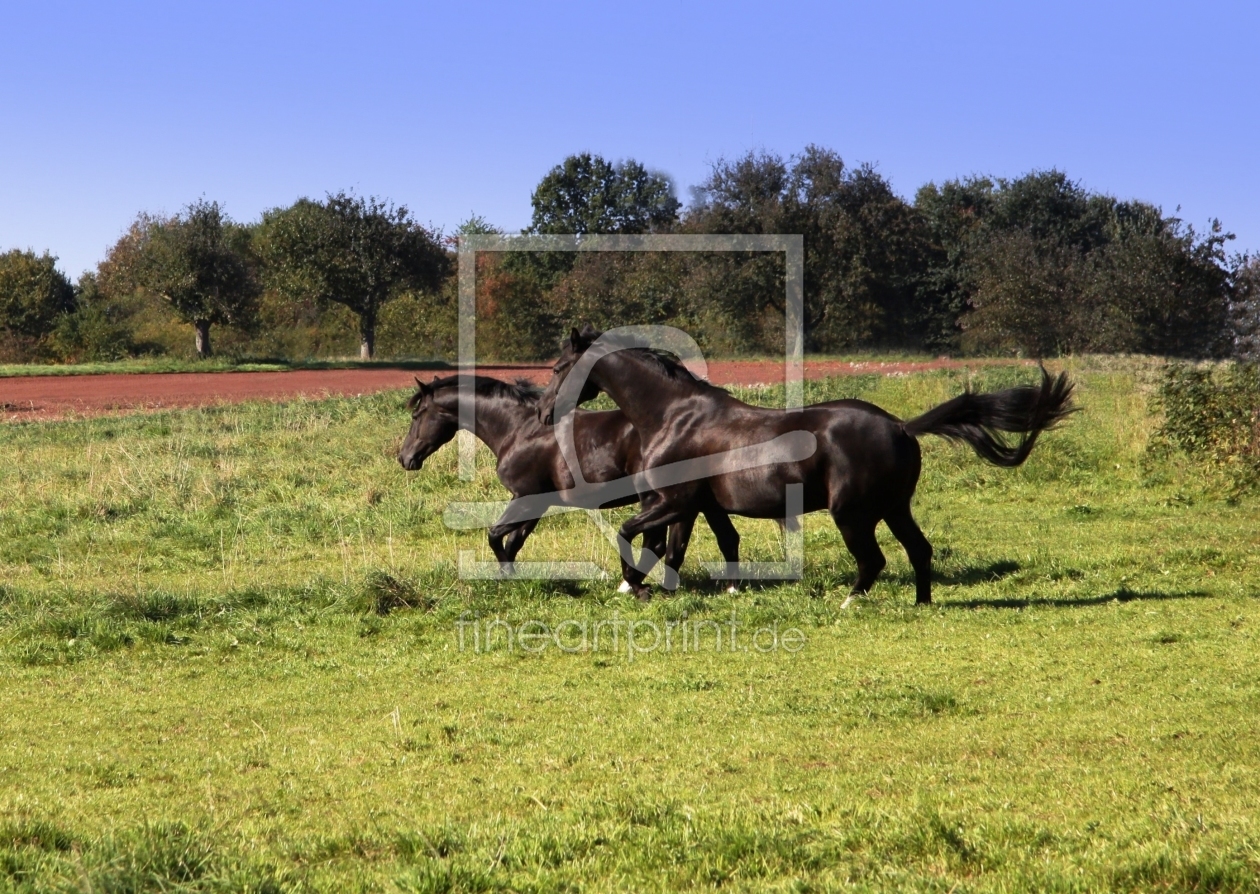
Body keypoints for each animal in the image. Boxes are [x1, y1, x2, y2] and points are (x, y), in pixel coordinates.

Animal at [398, 375, 740, 591]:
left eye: (417, 414)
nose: (404, 458)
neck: (519, 429)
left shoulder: (524, 497)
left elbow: (495, 537)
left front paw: (506, 576)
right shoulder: (536, 502)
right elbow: (513, 542)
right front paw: (511, 577)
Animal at [536, 329, 1078, 609]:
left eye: (558, 368)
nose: (542, 412)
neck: (672, 414)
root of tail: (901, 426)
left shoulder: (672, 502)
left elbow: (632, 533)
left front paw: (632, 583)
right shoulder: (697, 505)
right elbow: (690, 547)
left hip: (853, 513)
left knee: (874, 561)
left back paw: (849, 603)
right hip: (894, 507)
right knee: (919, 551)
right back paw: (920, 603)